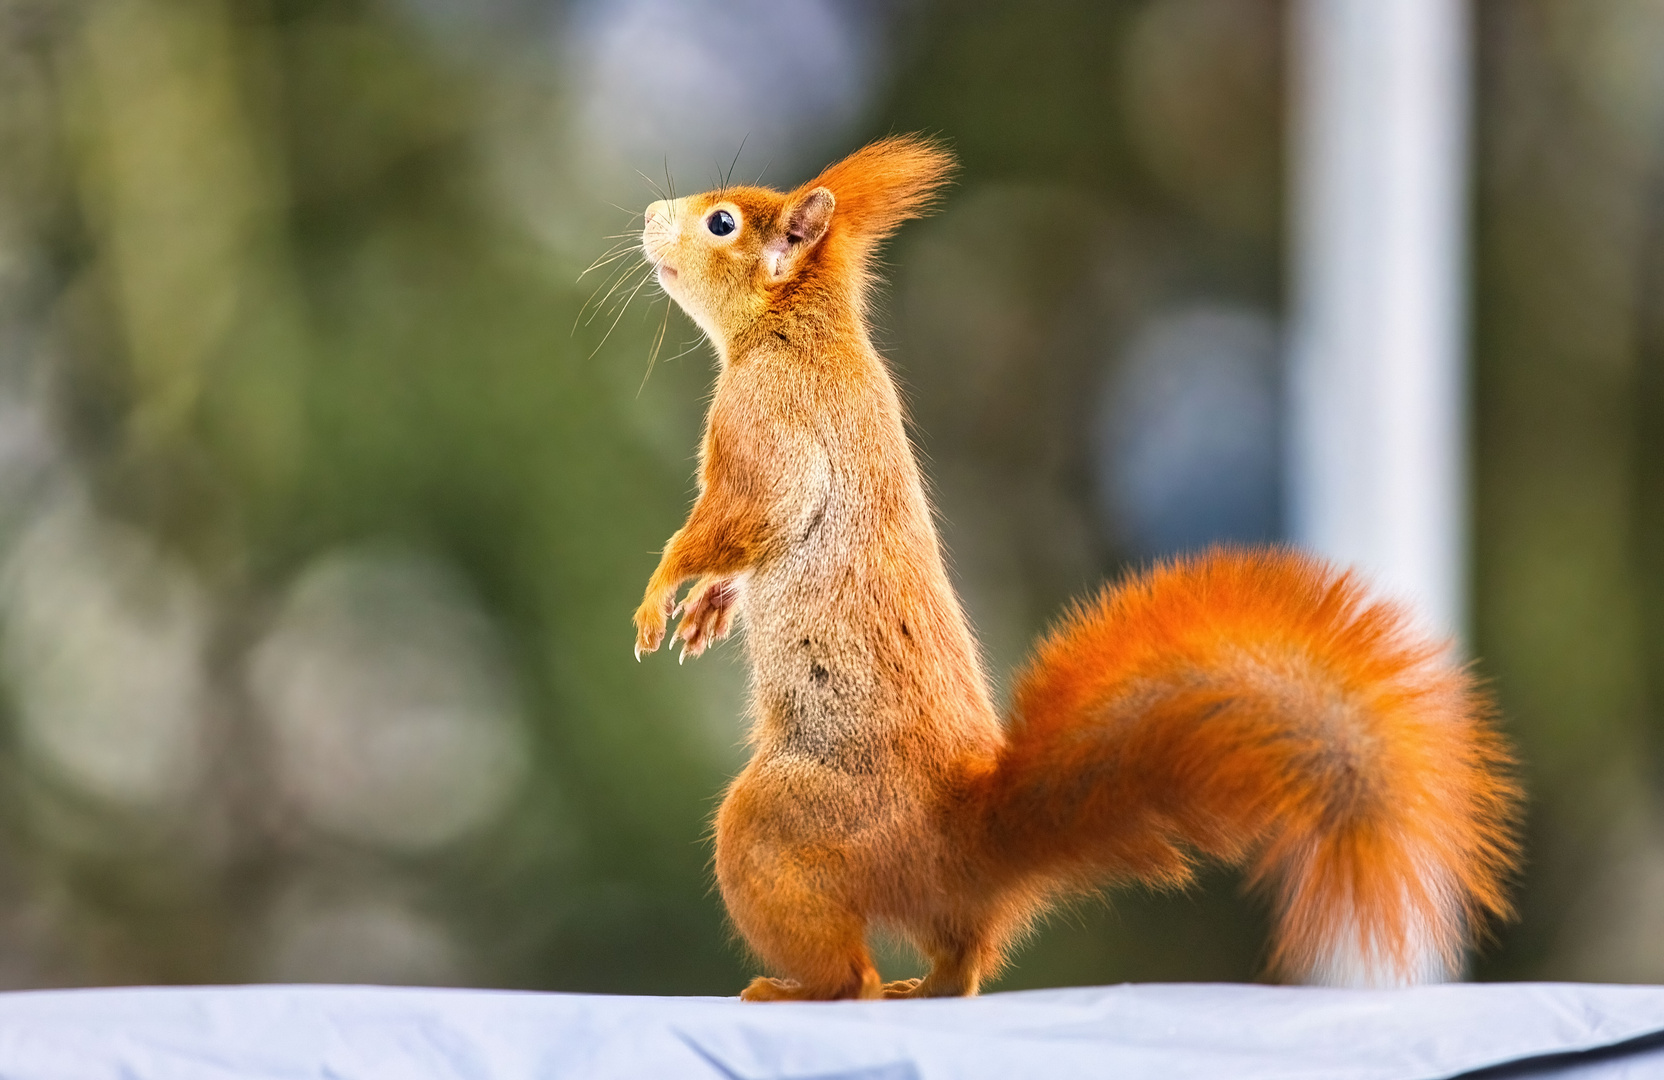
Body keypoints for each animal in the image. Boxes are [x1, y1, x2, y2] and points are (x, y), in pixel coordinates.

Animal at [625, 137, 1524, 1005]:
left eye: (722, 223)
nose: (650, 215)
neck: (797, 331)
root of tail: (956, 836)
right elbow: (744, 548)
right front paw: (709, 606)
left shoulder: (768, 421)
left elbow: (751, 515)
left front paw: (661, 593)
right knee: (959, 961)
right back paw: (922, 982)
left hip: (779, 830)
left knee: (855, 978)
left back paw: (795, 989)